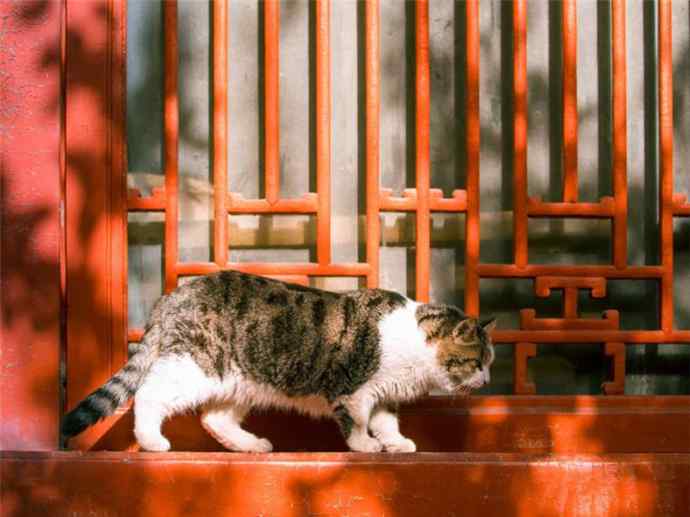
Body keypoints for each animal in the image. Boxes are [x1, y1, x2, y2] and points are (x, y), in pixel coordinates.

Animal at [61, 270, 492, 452]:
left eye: (489, 362)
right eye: (477, 363)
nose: (487, 380)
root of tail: (174, 294)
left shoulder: (383, 395)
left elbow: (386, 422)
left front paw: (396, 444)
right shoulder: (352, 389)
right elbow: (356, 423)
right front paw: (365, 447)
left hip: (241, 380)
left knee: (214, 418)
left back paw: (251, 446)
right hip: (196, 366)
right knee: (150, 395)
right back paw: (152, 441)